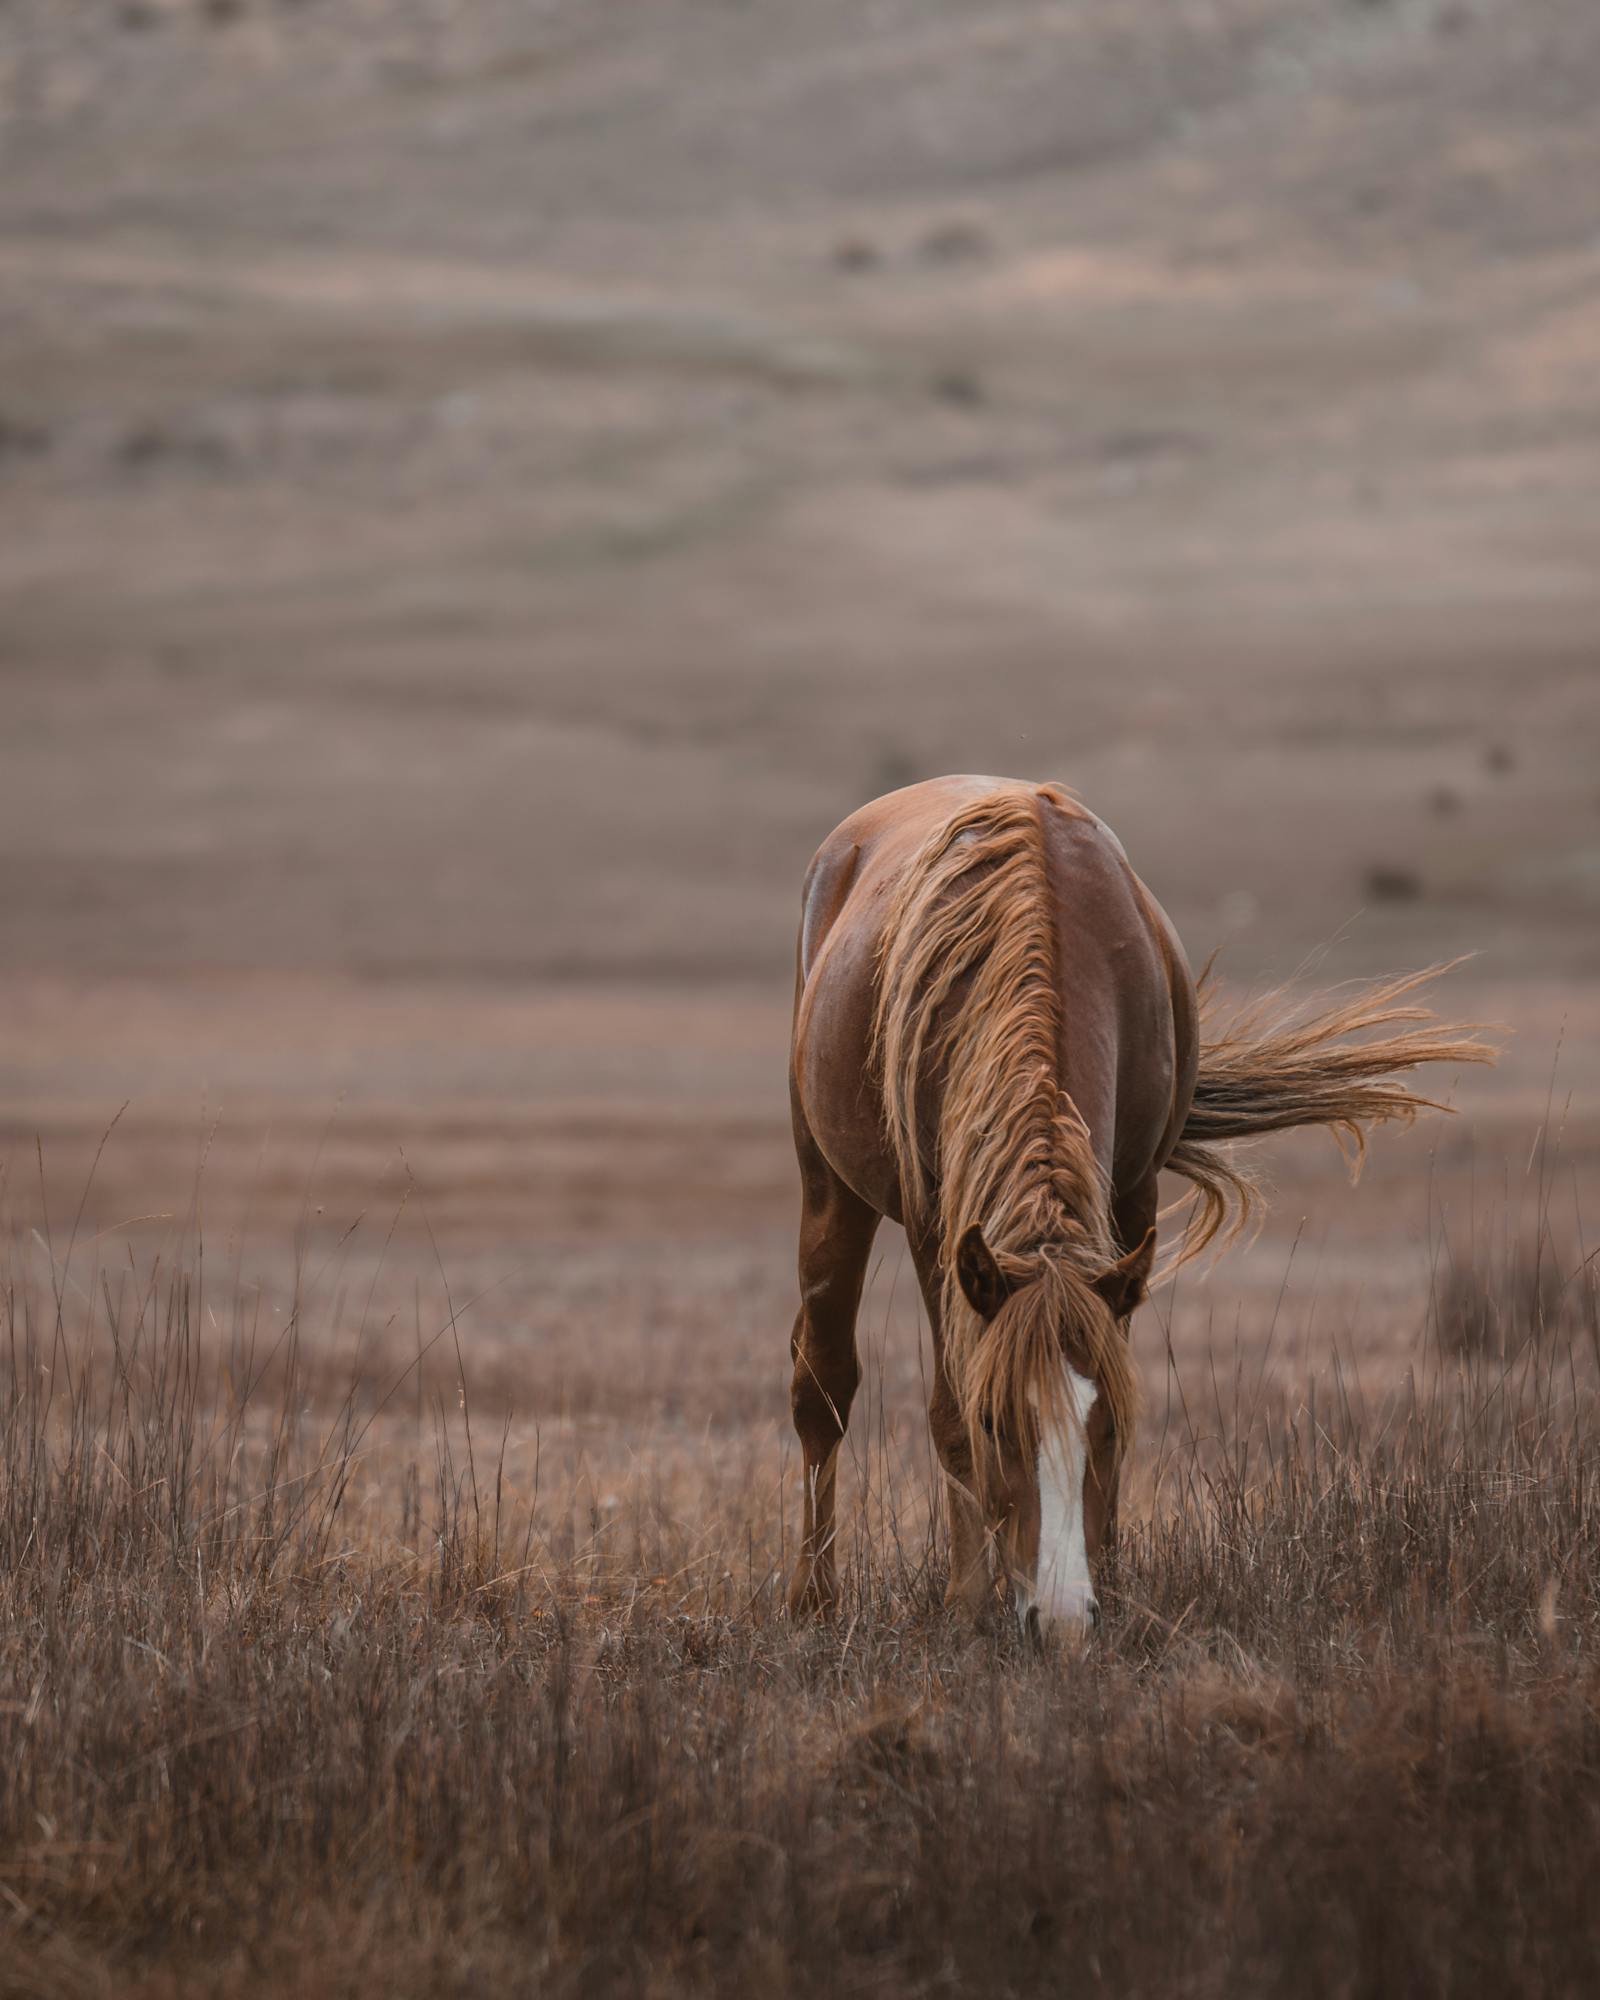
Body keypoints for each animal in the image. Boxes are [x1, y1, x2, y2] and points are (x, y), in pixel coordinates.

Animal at [788, 772, 1488, 1632]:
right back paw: (813, 1599)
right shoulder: (938, 1228)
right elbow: (949, 1411)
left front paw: (1112, 1584)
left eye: (1106, 1422)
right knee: (822, 1384)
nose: (1059, 1621)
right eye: (998, 1423)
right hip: (829, 1187)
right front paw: (966, 1601)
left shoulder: (1131, 1200)